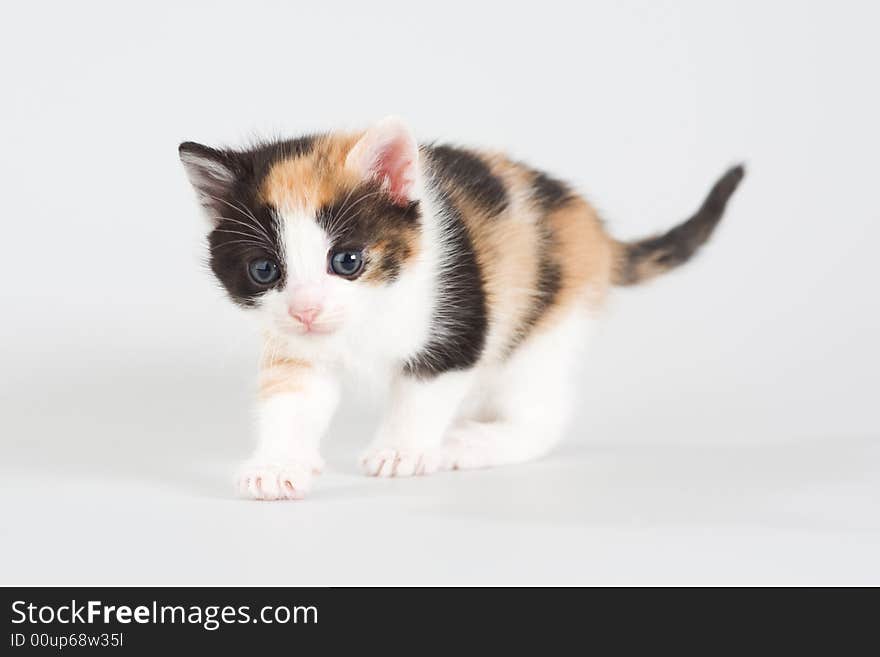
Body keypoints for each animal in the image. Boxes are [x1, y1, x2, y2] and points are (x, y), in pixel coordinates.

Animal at [179, 116, 744, 498]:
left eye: (347, 261)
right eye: (264, 270)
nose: (307, 310)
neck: (366, 320)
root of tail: (597, 233)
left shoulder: (456, 317)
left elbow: (423, 391)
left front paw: (401, 450)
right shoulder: (294, 345)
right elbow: (292, 399)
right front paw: (278, 466)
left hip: (547, 325)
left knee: (544, 413)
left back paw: (468, 443)